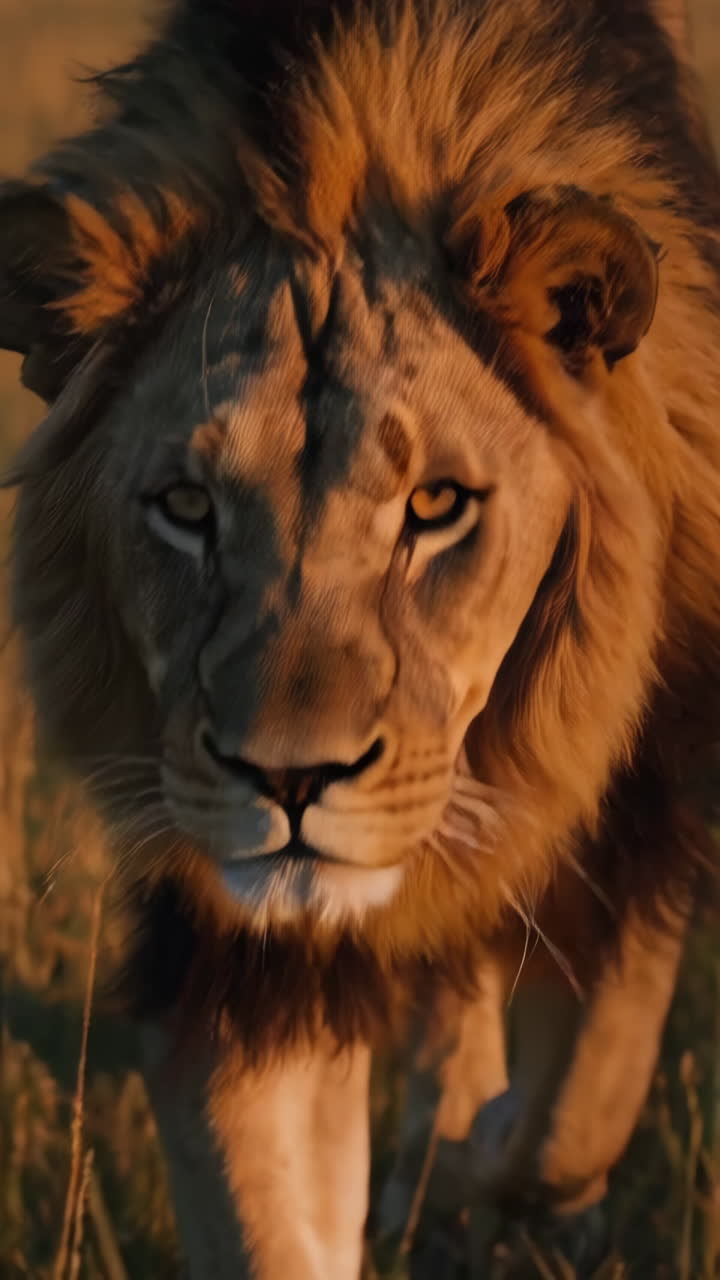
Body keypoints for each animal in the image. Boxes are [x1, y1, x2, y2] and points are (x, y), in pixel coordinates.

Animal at [1, 0, 719, 1274]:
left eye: (436, 505)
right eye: (185, 507)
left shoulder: (649, 797)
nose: (290, 780)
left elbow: (580, 1100)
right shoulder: (233, 947)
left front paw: (478, 1167)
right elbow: (269, 1210)